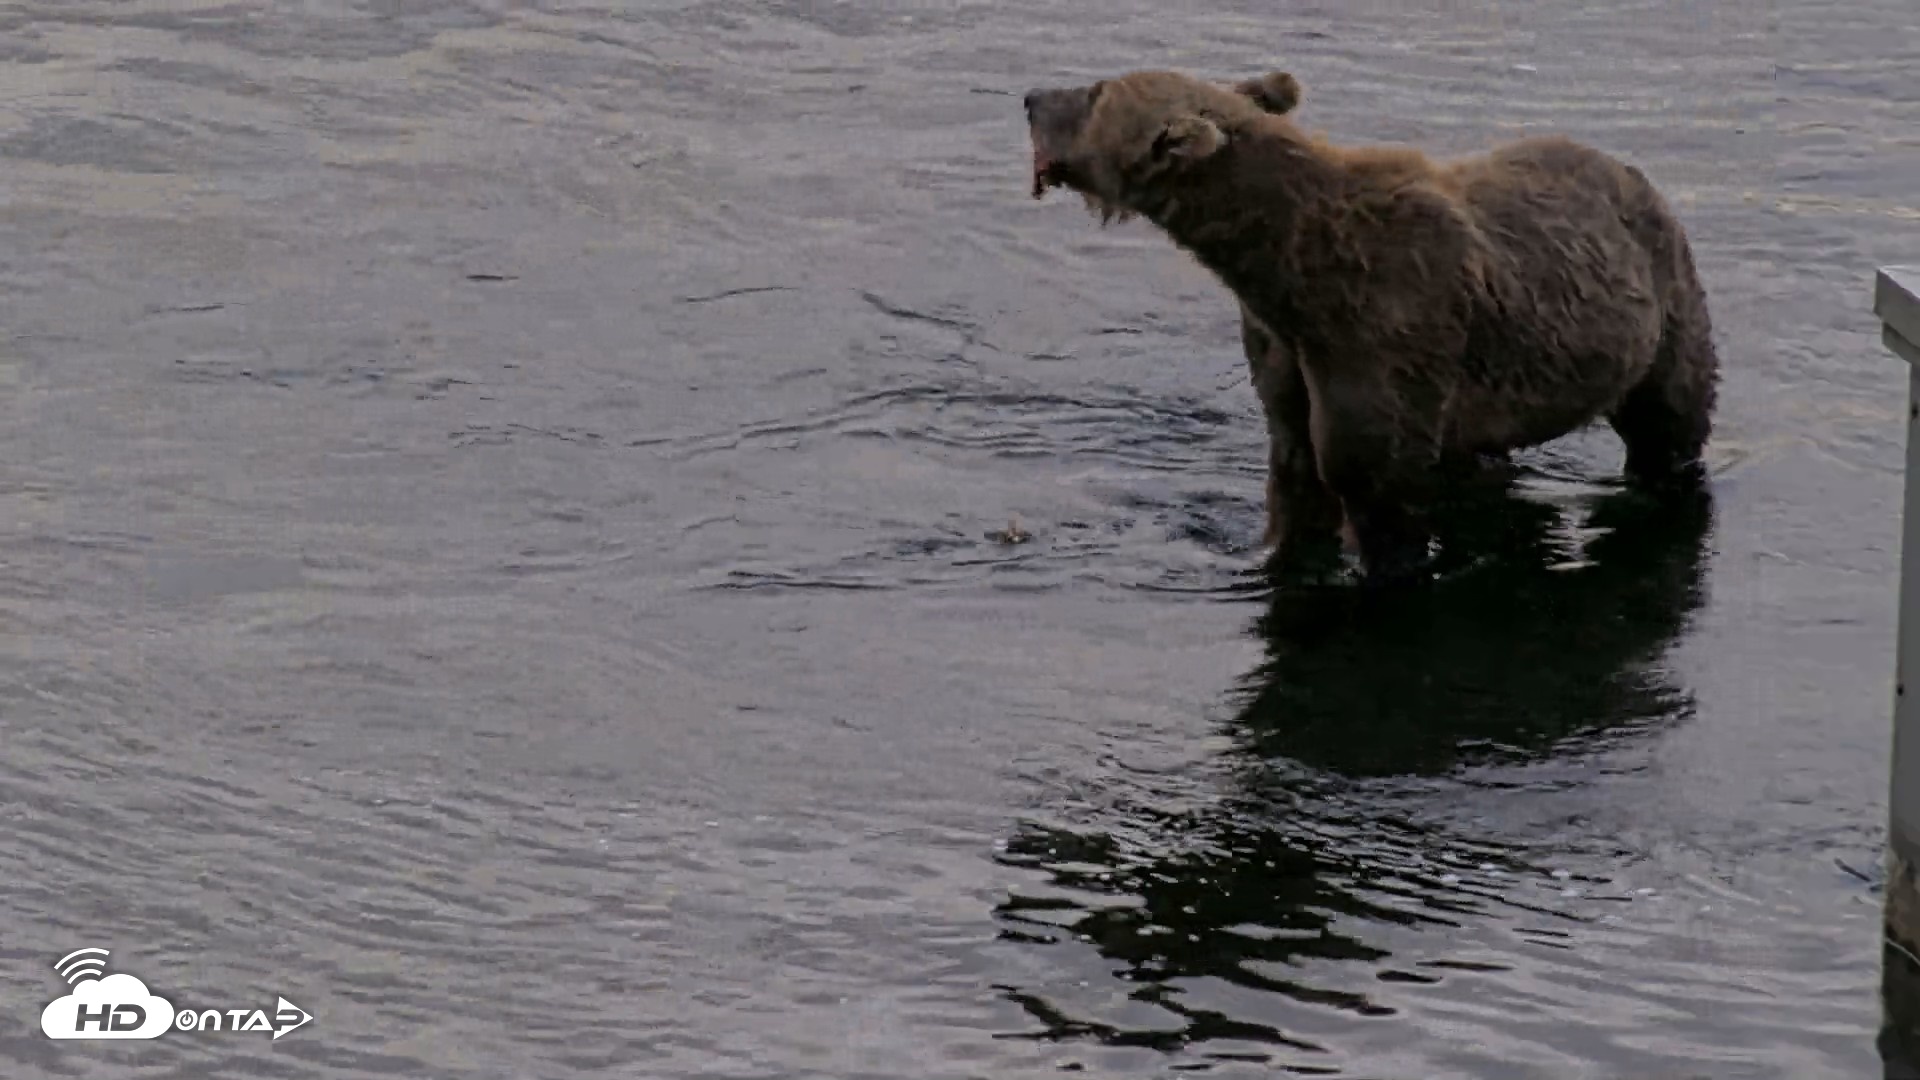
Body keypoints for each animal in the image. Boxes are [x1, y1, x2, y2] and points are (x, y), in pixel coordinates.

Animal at [1022, 69, 1720, 583]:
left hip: (1661, 305)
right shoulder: (1283, 348)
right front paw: (1273, 551)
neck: (1287, 267)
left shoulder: (1385, 328)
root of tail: (1629, 169)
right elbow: (1295, 467)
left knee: (1670, 419)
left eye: (1095, 92)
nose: (1030, 97)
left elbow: (1374, 480)